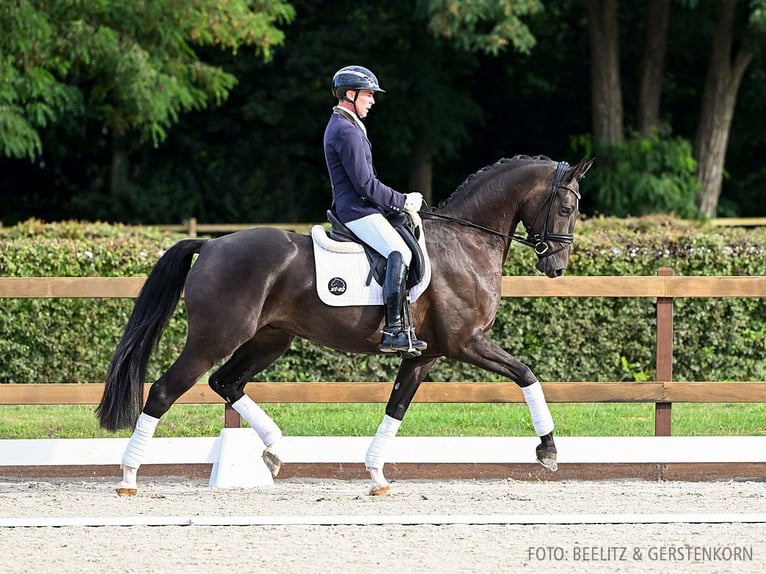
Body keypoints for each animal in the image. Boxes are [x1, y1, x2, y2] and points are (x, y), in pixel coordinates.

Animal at [99, 155, 596, 498]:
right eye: (566, 207)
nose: (556, 266)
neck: (466, 240)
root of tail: (212, 245)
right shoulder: (465, 342)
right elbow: (526, 374)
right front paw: (548, 450)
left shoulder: (427, 354)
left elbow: (396, 408)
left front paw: (376, 475)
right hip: (214, 339)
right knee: (165, 391)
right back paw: (128, 478)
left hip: (269, 339)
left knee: (226, 382)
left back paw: (275, 450)